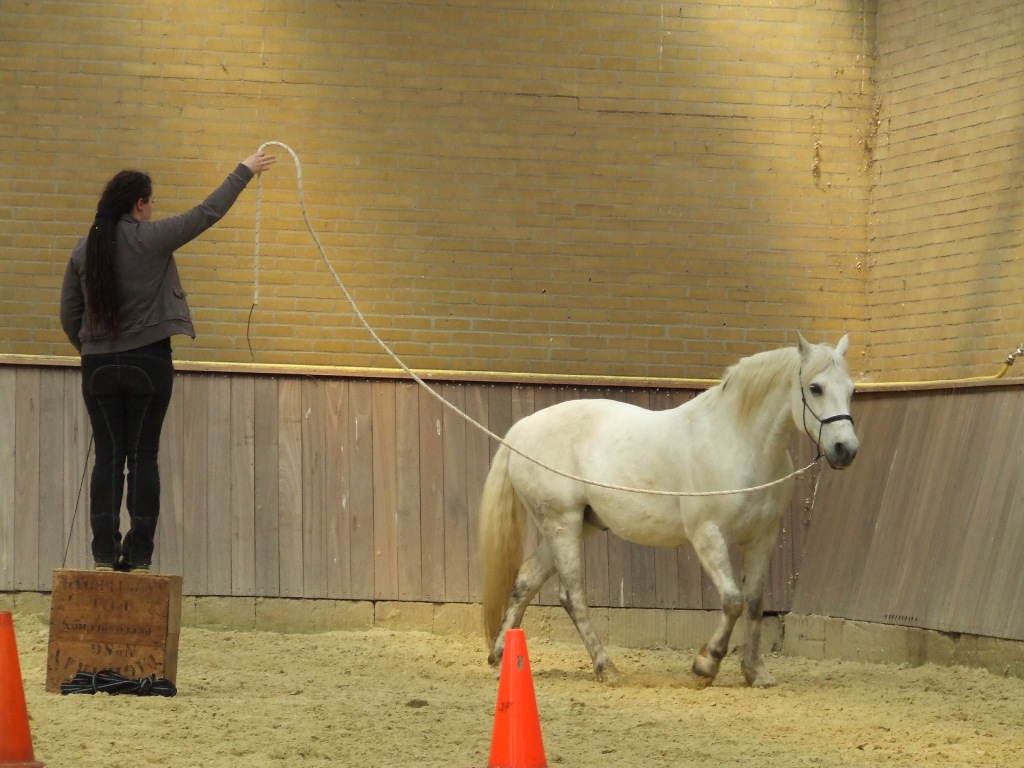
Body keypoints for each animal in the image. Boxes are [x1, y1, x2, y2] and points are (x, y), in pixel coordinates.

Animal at [477, 333, 856, 688]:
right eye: (815, 387)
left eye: (851, 390)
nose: (845, 449)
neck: (735, 442)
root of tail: (522, 429)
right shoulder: (708, 535)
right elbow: (732, 600)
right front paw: (706, 665)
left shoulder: (761, 539)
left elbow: (753, 602)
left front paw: (755, 672)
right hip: (562, 523)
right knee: (572, 595)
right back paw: (605, 667)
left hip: (576, 526)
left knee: (526, 580)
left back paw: (501, 656)